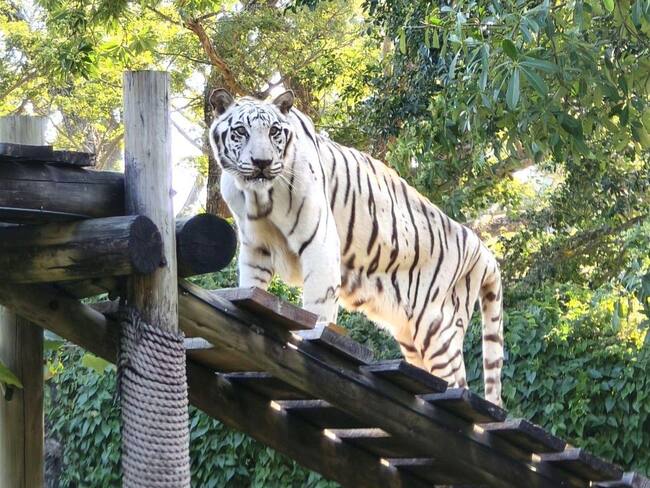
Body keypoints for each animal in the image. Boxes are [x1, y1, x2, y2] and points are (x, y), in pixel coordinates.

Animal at [208, 89, 505, 406]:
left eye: (274, 131)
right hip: (412, 336)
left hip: (438, 328)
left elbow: (318, 306)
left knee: (459, 386)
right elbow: (252, 286)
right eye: (241, 131)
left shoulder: (320, 242)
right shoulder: (255, 247)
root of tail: (483, 250)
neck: (258, 197)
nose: (262, 162)